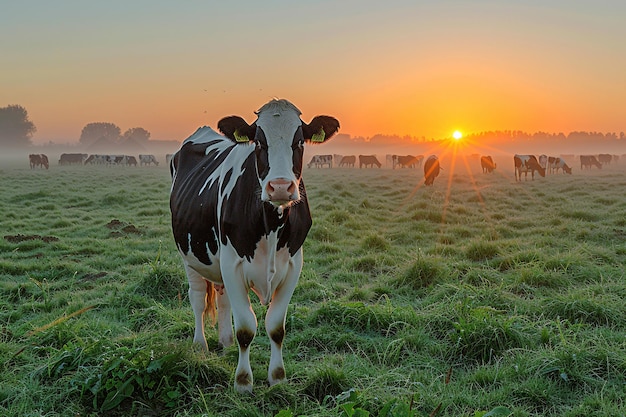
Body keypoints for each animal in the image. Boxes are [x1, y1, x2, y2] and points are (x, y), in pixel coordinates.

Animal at [168, 99, 338, 392]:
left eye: (299, 142)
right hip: (190, 255)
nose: (280, 187)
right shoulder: (233, 264)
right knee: (198, 300)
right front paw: (243, 381)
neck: (271, 224)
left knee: (222, 298)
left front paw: (277, 377)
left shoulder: (293, 265)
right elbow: (246, 328)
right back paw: (200, 345)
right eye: (259, 142)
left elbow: (276, 327)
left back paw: (225, 342)